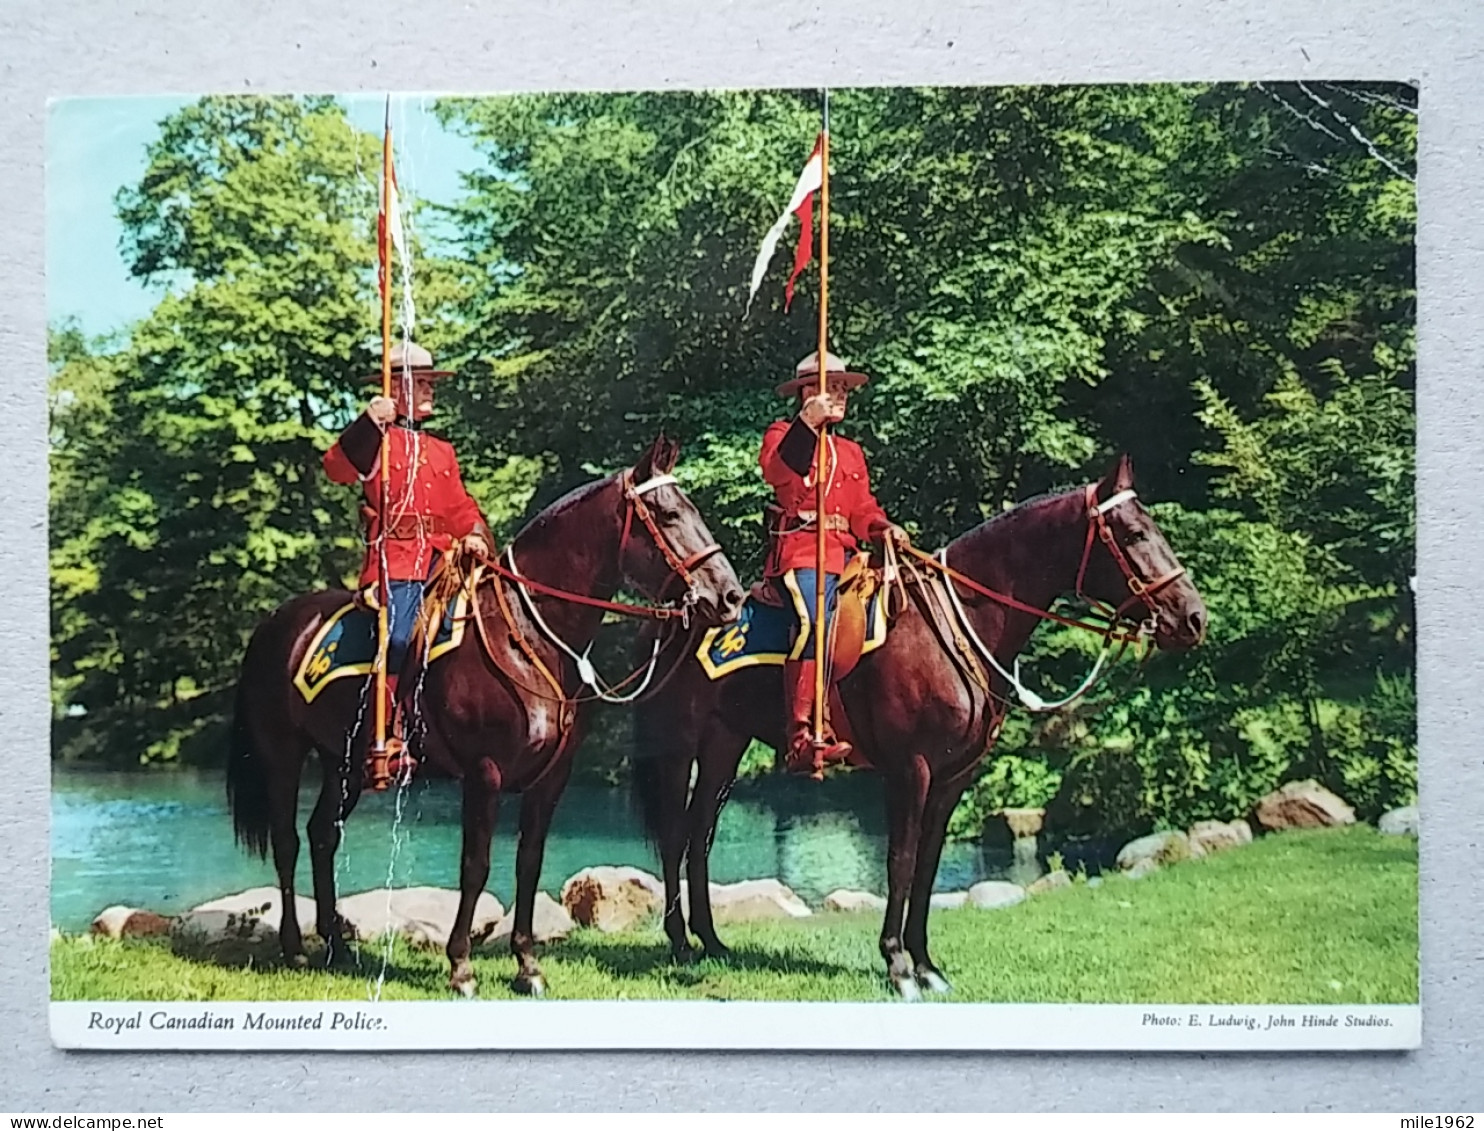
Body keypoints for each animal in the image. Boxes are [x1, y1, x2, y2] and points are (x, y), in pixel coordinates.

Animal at [228, 433, 742, 997]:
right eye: (668, 513)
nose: (730, 596)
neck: (528, 637)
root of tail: (278, 623)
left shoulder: (550, 779)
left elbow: (528, 864)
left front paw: (527, 966)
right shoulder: (484, 773)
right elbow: (475, 866)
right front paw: (461, 967)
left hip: (344, 764)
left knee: (323, 835)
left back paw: (337, 948)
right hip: (283, 754)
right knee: (288, 840)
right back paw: (295, 948)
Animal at [635, 451, 1205, 997]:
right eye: (1133, 534)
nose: (1193, 617)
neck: (954, 628)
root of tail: (676, 613)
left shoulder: (953, 777)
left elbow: (928, 866)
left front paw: (927, 964)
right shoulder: (912, 770)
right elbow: (901, 861)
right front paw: (898, 964)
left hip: (725, 744)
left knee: (699, 834)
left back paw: (712, 941)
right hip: (677, 744)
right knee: (675, 835)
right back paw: (682, 945)